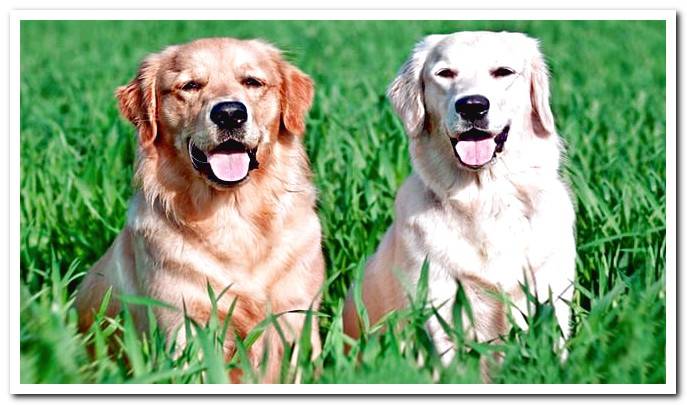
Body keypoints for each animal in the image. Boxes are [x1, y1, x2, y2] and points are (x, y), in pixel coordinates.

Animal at [342, 31, 576, 364]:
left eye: (503, 72)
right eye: (445, 74)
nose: (472, 106)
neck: (484, 199)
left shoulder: (550, 291)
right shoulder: (438, 302)